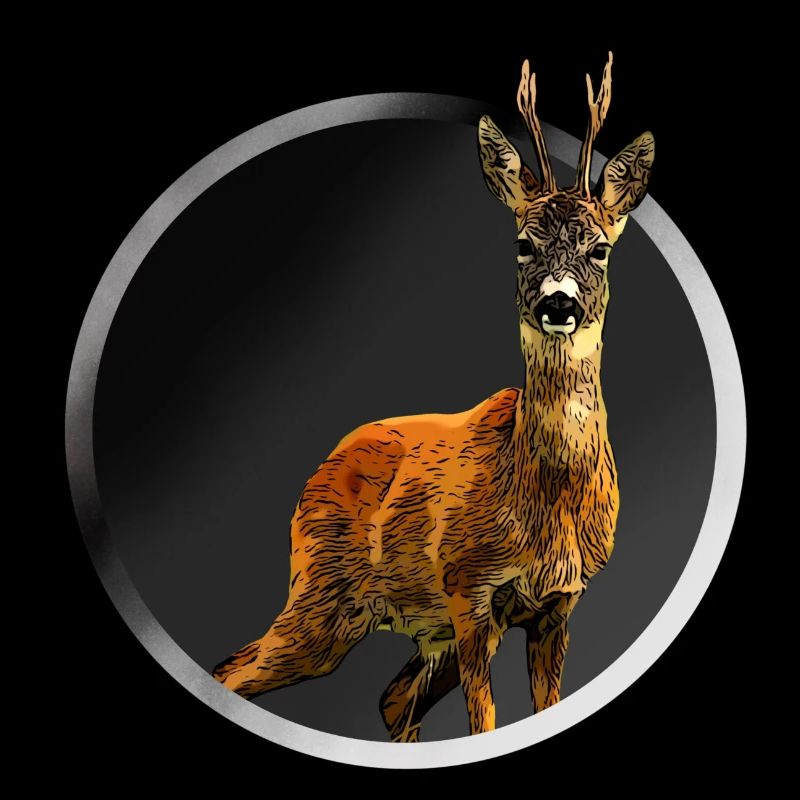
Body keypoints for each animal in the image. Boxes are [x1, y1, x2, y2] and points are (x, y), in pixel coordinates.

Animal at [212, 52, 654, 740]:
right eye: (522, 243)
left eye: (601, 247)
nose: (558, 304)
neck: (542, 500)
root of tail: (320, 469)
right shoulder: (468, 590)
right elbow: (486, 723)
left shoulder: (557, 605)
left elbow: (541, 705)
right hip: (321, 595)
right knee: (235, 670)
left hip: (408, 624)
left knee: (391, 698)